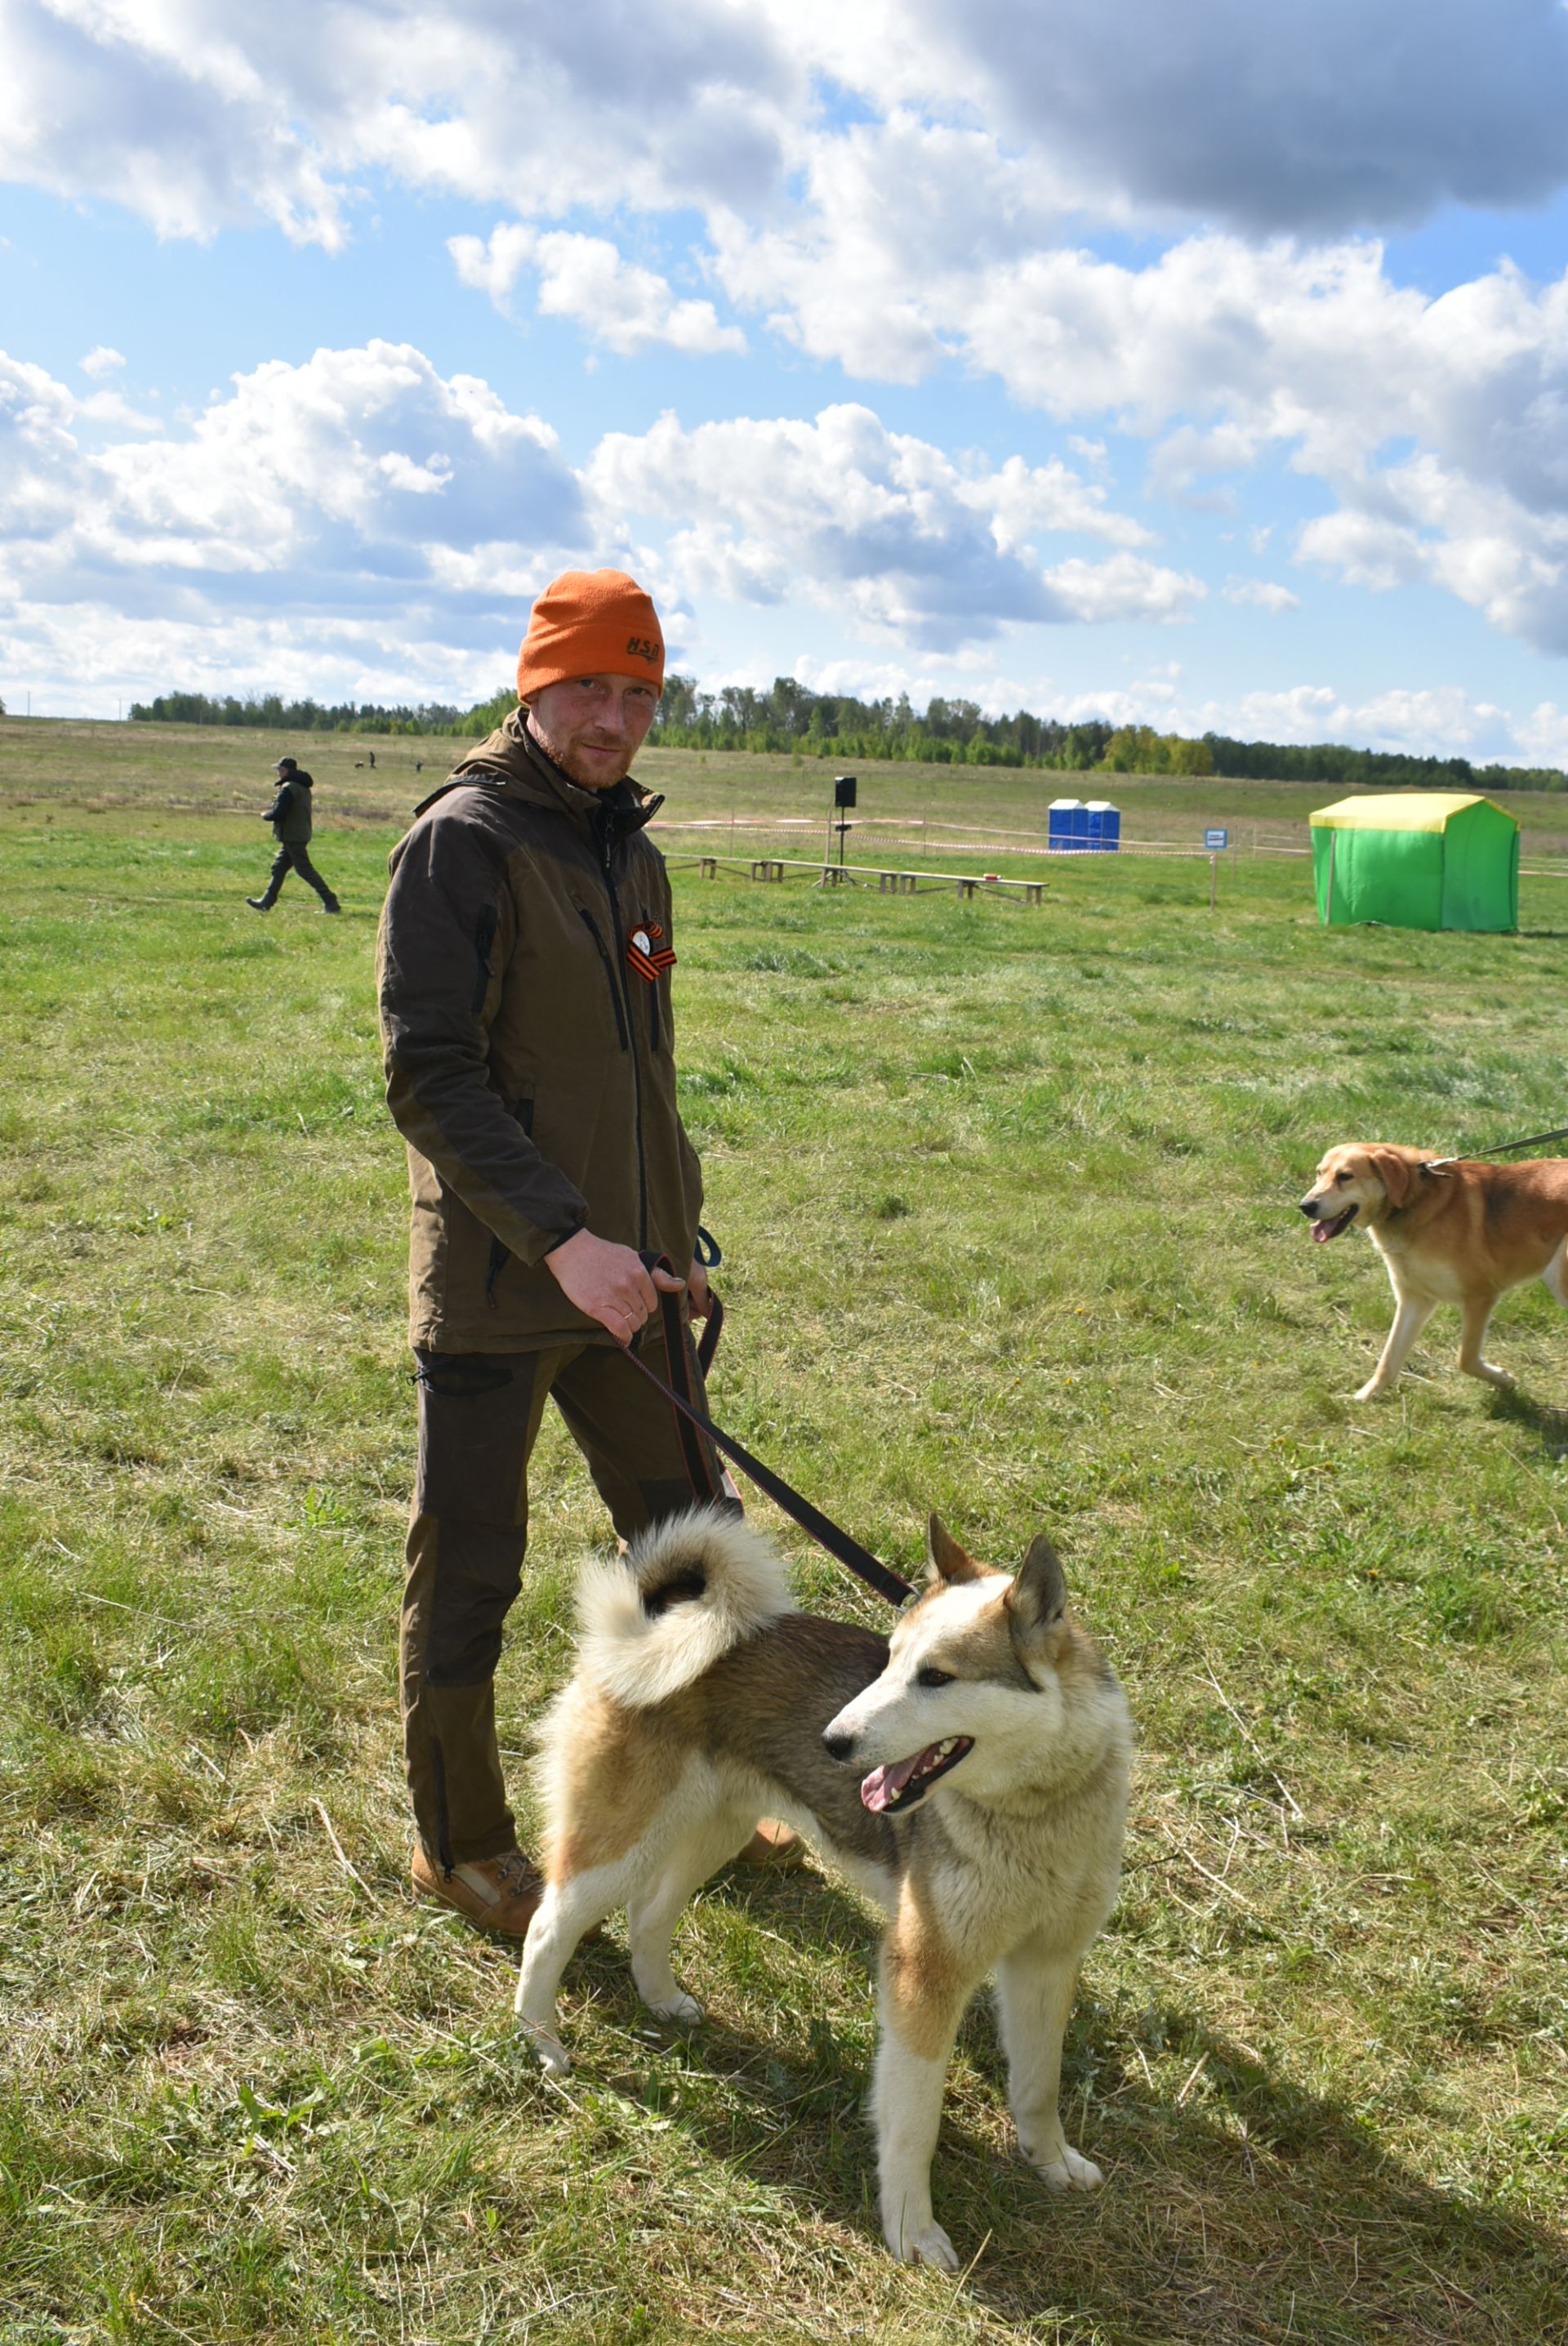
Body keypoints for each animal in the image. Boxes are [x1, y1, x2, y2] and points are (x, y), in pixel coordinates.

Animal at [520, 1510, 1129, 2261]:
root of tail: (655, 1621)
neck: (1037, 1810)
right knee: (548, 1928)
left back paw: (660, 1999)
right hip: (620, 1842)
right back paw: (540, 2041)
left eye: (936, 1677)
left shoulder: (1046, 1964)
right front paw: (911, 2230)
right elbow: (914, 2122)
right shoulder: (924, 1975)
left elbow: (1040, 2084)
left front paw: (1050, 2162)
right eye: (889, 1660)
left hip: (715, 1830)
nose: (832, 1741)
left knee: (649, 1915)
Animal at [1294, 1144, 1566, 1398]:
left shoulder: (1480, 1297)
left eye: (1345, 1176)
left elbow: (1465, 1359)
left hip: (1559, 1279)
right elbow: (1389, 1360)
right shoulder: (1414, 1300)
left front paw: (1503, 1379)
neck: (1412, 1200)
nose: (1305, 1206)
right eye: (1319, 1173)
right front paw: (1364, 1397)